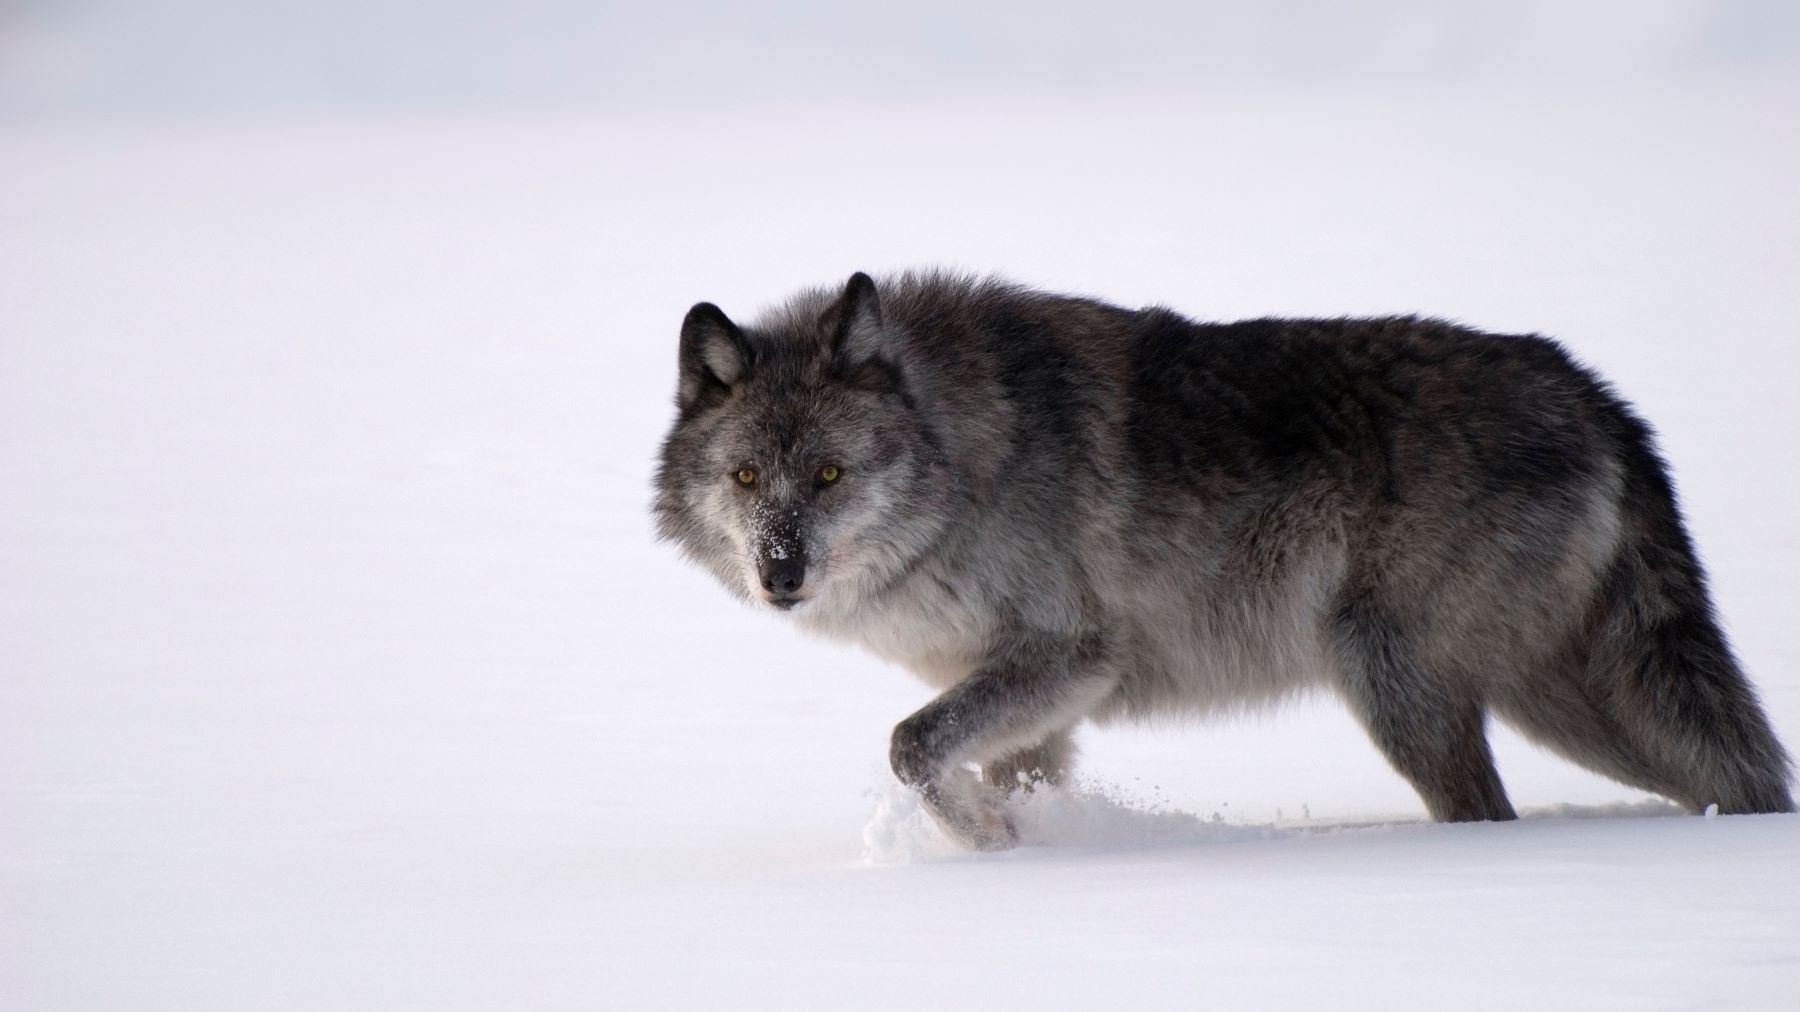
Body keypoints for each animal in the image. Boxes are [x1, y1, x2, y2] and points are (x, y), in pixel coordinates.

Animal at [653, 270, 1793, 849]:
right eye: (747, 478)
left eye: (830, 475)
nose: (782, 574)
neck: (965, 451)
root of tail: (1596, 395)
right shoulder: (1033, 698)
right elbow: (973, 758)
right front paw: (1013, 846)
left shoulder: (1071, 654)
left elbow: (910, 744)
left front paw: (980, 837)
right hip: (1566, 699)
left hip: (1408, 687)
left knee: (1494, 816)